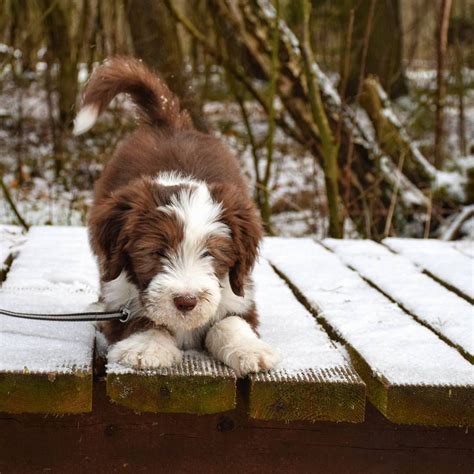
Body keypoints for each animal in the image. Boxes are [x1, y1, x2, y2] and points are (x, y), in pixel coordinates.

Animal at [74, 57, 278, 376]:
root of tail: (170, 123)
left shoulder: (239, 293)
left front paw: (250, 349)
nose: (186, 301)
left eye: (210, 254)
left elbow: (231, 320)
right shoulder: (121, 298)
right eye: (157, 252)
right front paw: (145, 347)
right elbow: (139, 317)